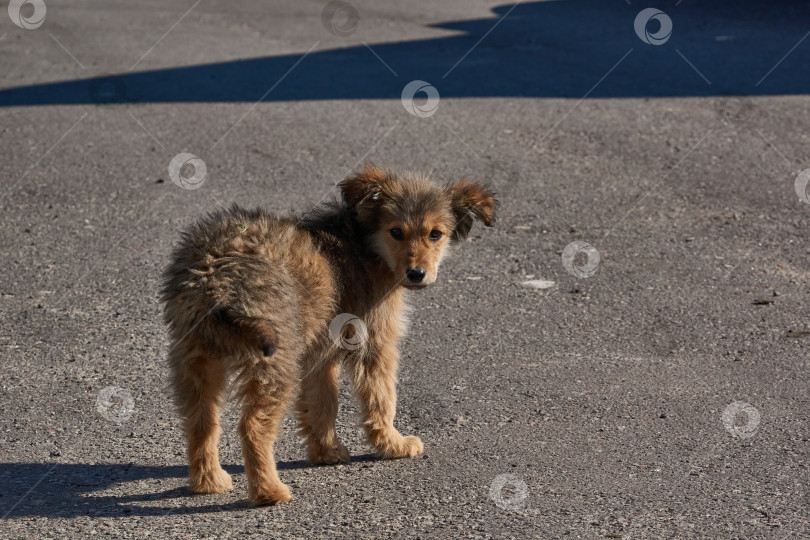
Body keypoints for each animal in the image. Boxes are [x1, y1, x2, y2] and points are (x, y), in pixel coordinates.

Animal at [161, 162, 496, 504]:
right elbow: (382, 398)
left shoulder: (319, 353)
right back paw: (269, 492)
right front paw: (393, 445)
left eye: (435, 234)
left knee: (201, 421)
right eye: (396, 232)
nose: (417, 274)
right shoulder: (374, 343)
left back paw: (208, 481)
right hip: (274, 362)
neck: (365, 244)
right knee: (253, 427)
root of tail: (215, 273)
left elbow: (323, 402)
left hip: (195, 357)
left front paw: (326, 451)